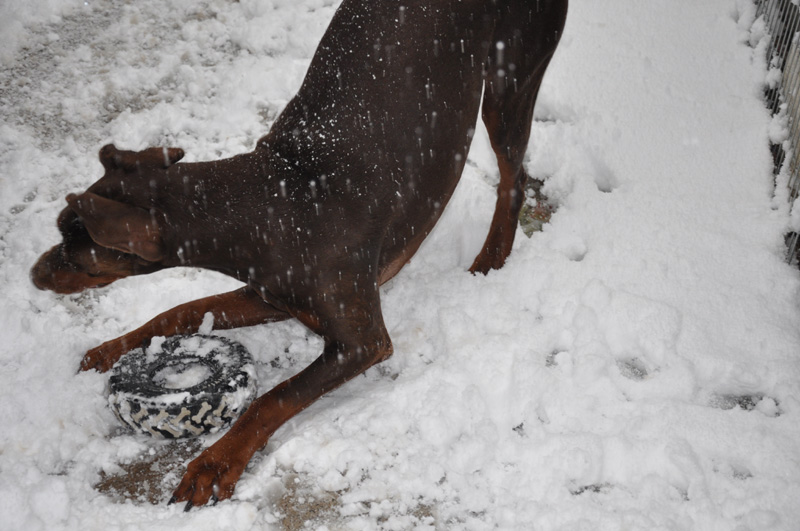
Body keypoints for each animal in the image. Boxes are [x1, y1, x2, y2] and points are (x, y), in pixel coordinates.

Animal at [31, 0, 564, 510]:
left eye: (76, 256)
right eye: (58, 231)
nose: (35, 275)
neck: (271, 202)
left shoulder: (362, 341)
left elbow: (275, 397)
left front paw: (214, 465)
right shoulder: (271, 295)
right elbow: (178, 312)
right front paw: (110, 349)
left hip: (511, 77)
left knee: (513, 175)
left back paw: (492, 256)